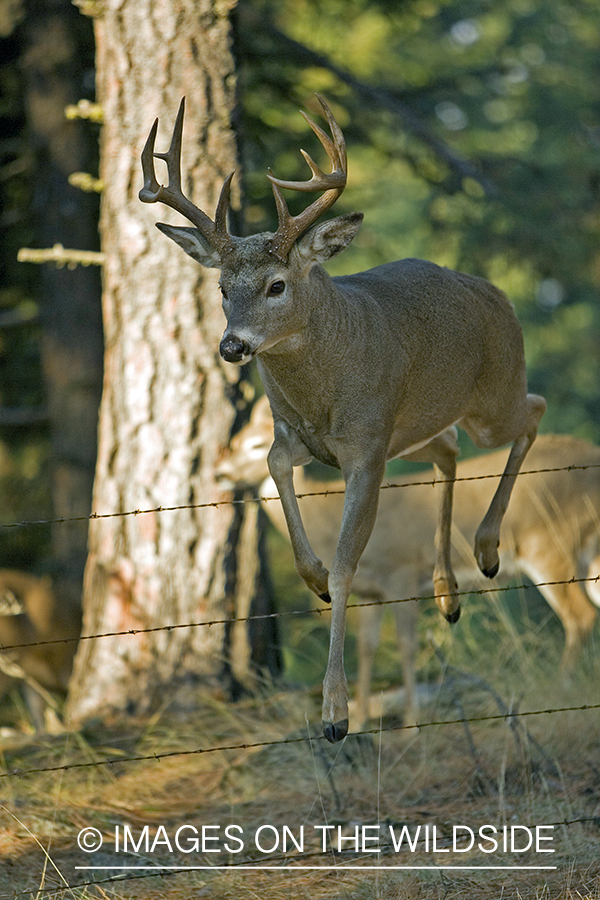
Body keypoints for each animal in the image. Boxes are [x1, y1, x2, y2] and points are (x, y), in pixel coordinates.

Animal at [139, 95, 544, 740]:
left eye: (277, 284)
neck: (321, 390)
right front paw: (308, 575)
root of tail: (494, 292)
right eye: (223, 289)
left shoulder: (367, 448)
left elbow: (347, 565)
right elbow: (278, 470)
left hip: (491, 396)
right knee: (450, 450)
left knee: (532, 411)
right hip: (416, 427)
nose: (232, 347)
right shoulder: (298, 435)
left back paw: (485, 549)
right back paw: (447, 593)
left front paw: (335, 715)